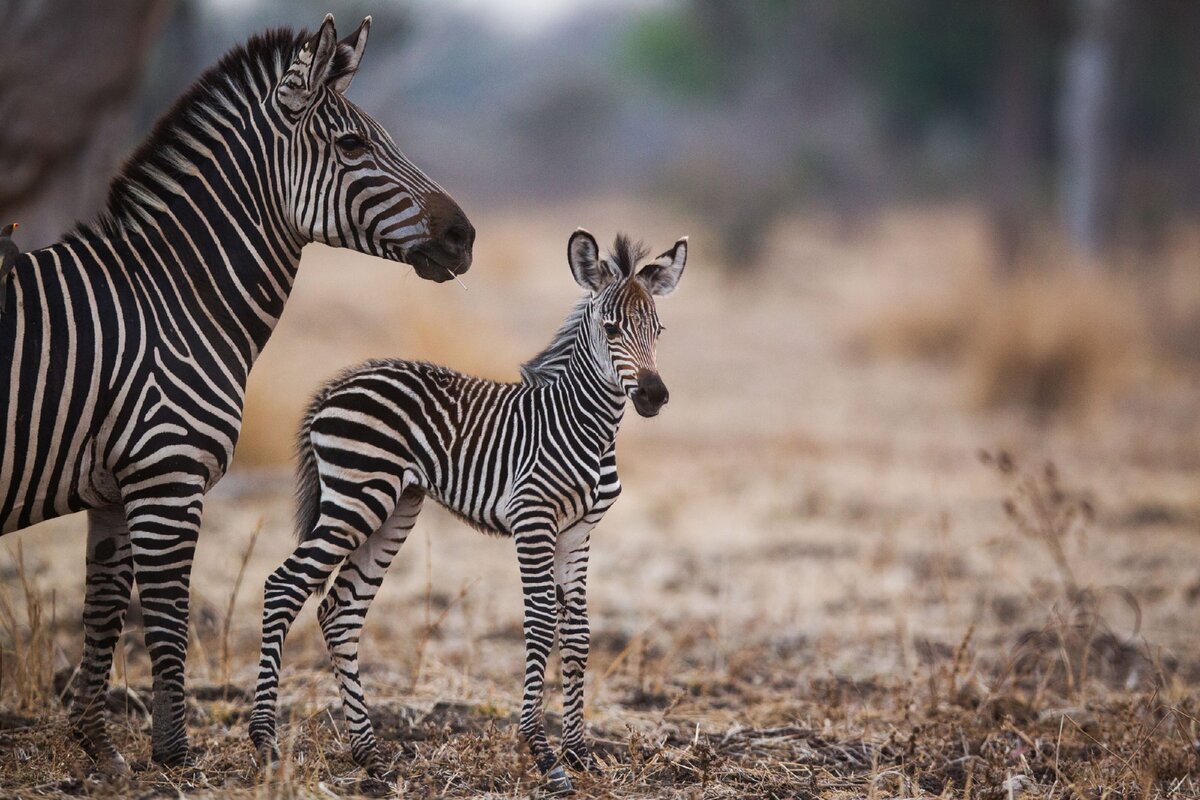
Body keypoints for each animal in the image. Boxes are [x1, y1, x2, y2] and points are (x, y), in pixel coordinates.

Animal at [248, 227, 691, 791]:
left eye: (658, 330)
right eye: (611, 329)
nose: (655, 396)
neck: (583, 425)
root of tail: (338, 385)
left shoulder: (578, 531)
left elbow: (578, 632)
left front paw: (580, 753)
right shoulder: (532, 519)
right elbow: (540, 622)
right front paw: (543, 753)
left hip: (394, 508)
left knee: (339, 610)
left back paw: (370, 756)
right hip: (356, 497)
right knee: (284, 585)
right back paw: (265, 745)